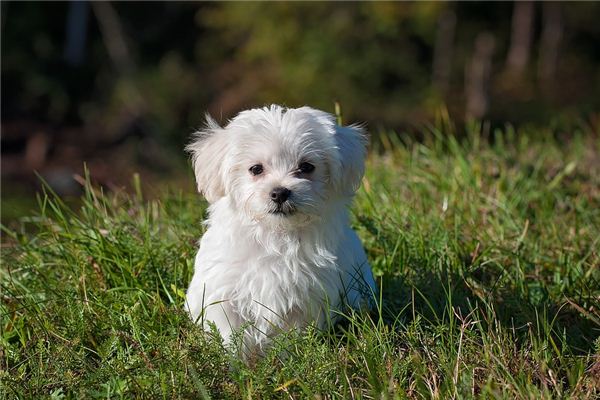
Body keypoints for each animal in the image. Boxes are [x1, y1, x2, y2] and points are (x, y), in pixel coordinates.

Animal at [185, 104, 378, 354]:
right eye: (256, 169)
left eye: (306, 167)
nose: (279, 192)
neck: (276, 234)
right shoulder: (223, 291)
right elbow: (229, 332)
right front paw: (234, 360)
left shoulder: (305, 298)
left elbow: (291, 335)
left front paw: (287, 356)